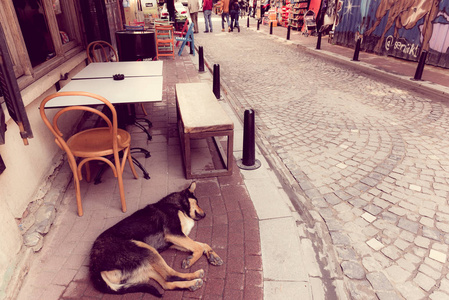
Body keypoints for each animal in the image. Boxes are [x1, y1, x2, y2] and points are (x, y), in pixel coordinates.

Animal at [89, 182, 222, 296]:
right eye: (197, 202)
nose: (205, 214)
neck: (176, 205)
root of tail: (94, 268)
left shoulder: (175, 240)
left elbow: (202, 244)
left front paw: (213, 256)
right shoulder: (174, 233)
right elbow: (198, 246)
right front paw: (191, 260)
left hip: (146, 266)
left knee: (166, 283)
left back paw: (193, 283)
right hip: (145, 249)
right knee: (169, 275)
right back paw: (196, 275)